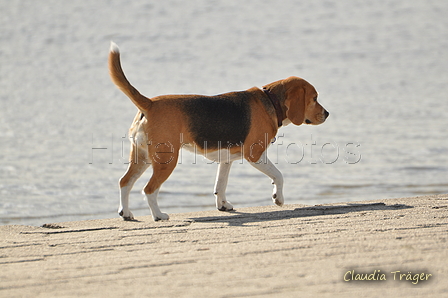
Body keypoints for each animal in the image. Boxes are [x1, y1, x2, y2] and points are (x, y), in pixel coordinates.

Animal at [108, 42, 328, 220]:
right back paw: (159, 215)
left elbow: (220, 185)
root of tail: (150, 103)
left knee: (124, 182)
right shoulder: (255, 155)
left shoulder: (226, 159)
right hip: (165, 160)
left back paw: (126, 213)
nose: (327, 114)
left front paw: (223, 205)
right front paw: (278, 199)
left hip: (142, 157)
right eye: (315, 98)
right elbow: (279, 175)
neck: (270, 102)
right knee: (149, 189)